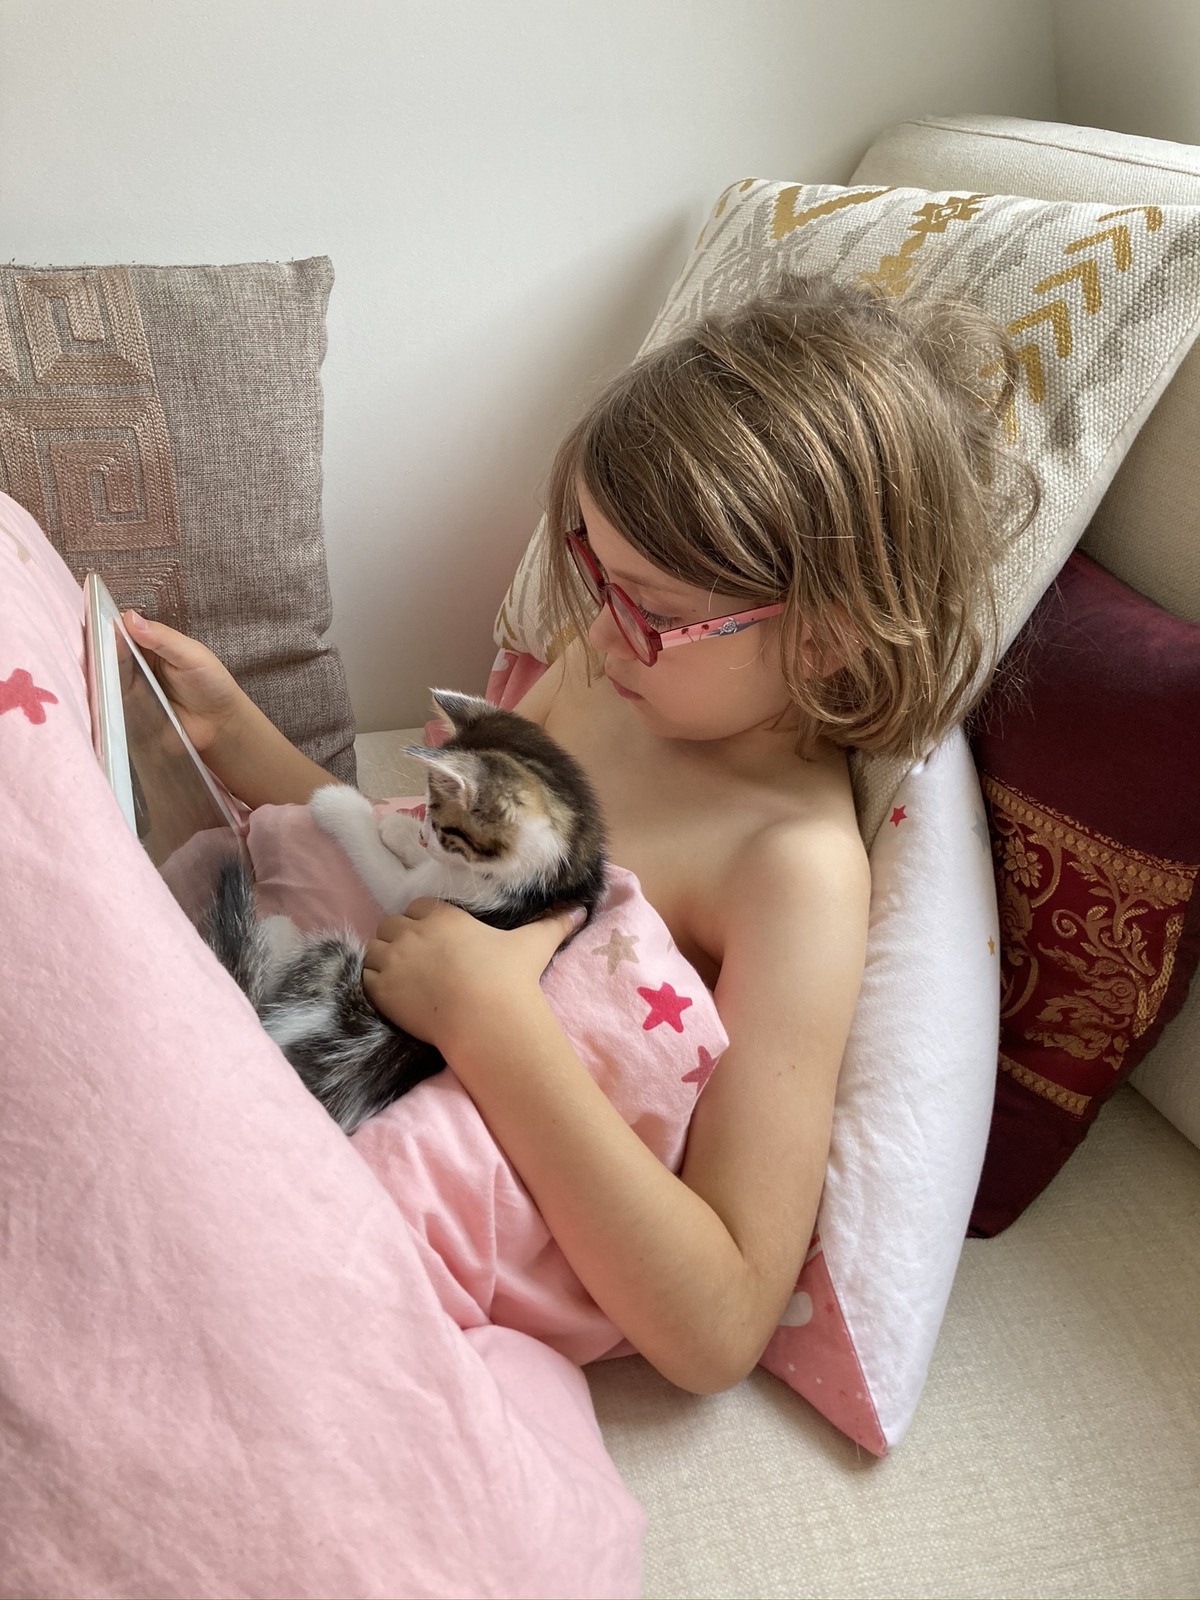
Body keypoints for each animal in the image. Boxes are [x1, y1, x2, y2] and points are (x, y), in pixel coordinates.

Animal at [202, 690, 607, 1134]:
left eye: (443, 823)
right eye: (427, 807)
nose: (425, 833)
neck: (561, 875)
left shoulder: (438, 895)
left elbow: (387, 875)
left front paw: (340, 804)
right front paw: (400, 831)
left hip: (333, 966)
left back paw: (275, 932)